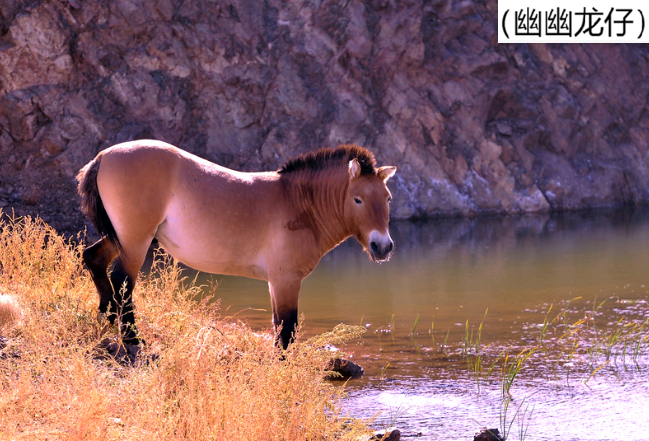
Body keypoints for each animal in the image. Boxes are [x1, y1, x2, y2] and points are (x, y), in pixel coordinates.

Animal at [78, 140, 398, 348]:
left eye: (387, 198)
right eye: (358, 200)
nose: (382, 247)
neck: (298, 203)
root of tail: (103, 156)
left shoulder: (274, 282)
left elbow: (278, 327)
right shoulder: (286, 280)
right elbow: (287, 331)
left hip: (122, 238)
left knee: (94, 258)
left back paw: (107, 316)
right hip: (136, 240)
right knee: (122, 281)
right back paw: (132, 337)